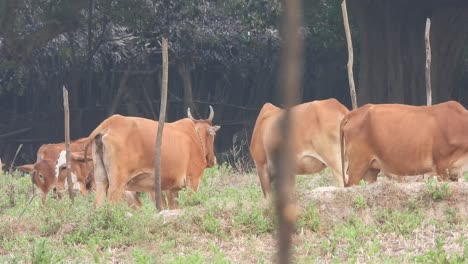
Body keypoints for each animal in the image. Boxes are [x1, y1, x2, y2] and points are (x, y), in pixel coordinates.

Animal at [82, 106, 221, 207]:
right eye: (213, 135)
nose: (213, 159)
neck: (195, 136)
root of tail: (111, 122)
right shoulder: (193, 180)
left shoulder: (171, 189)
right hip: (118, 183)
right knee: (111, 203)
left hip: (101, 180)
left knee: (97, 203)